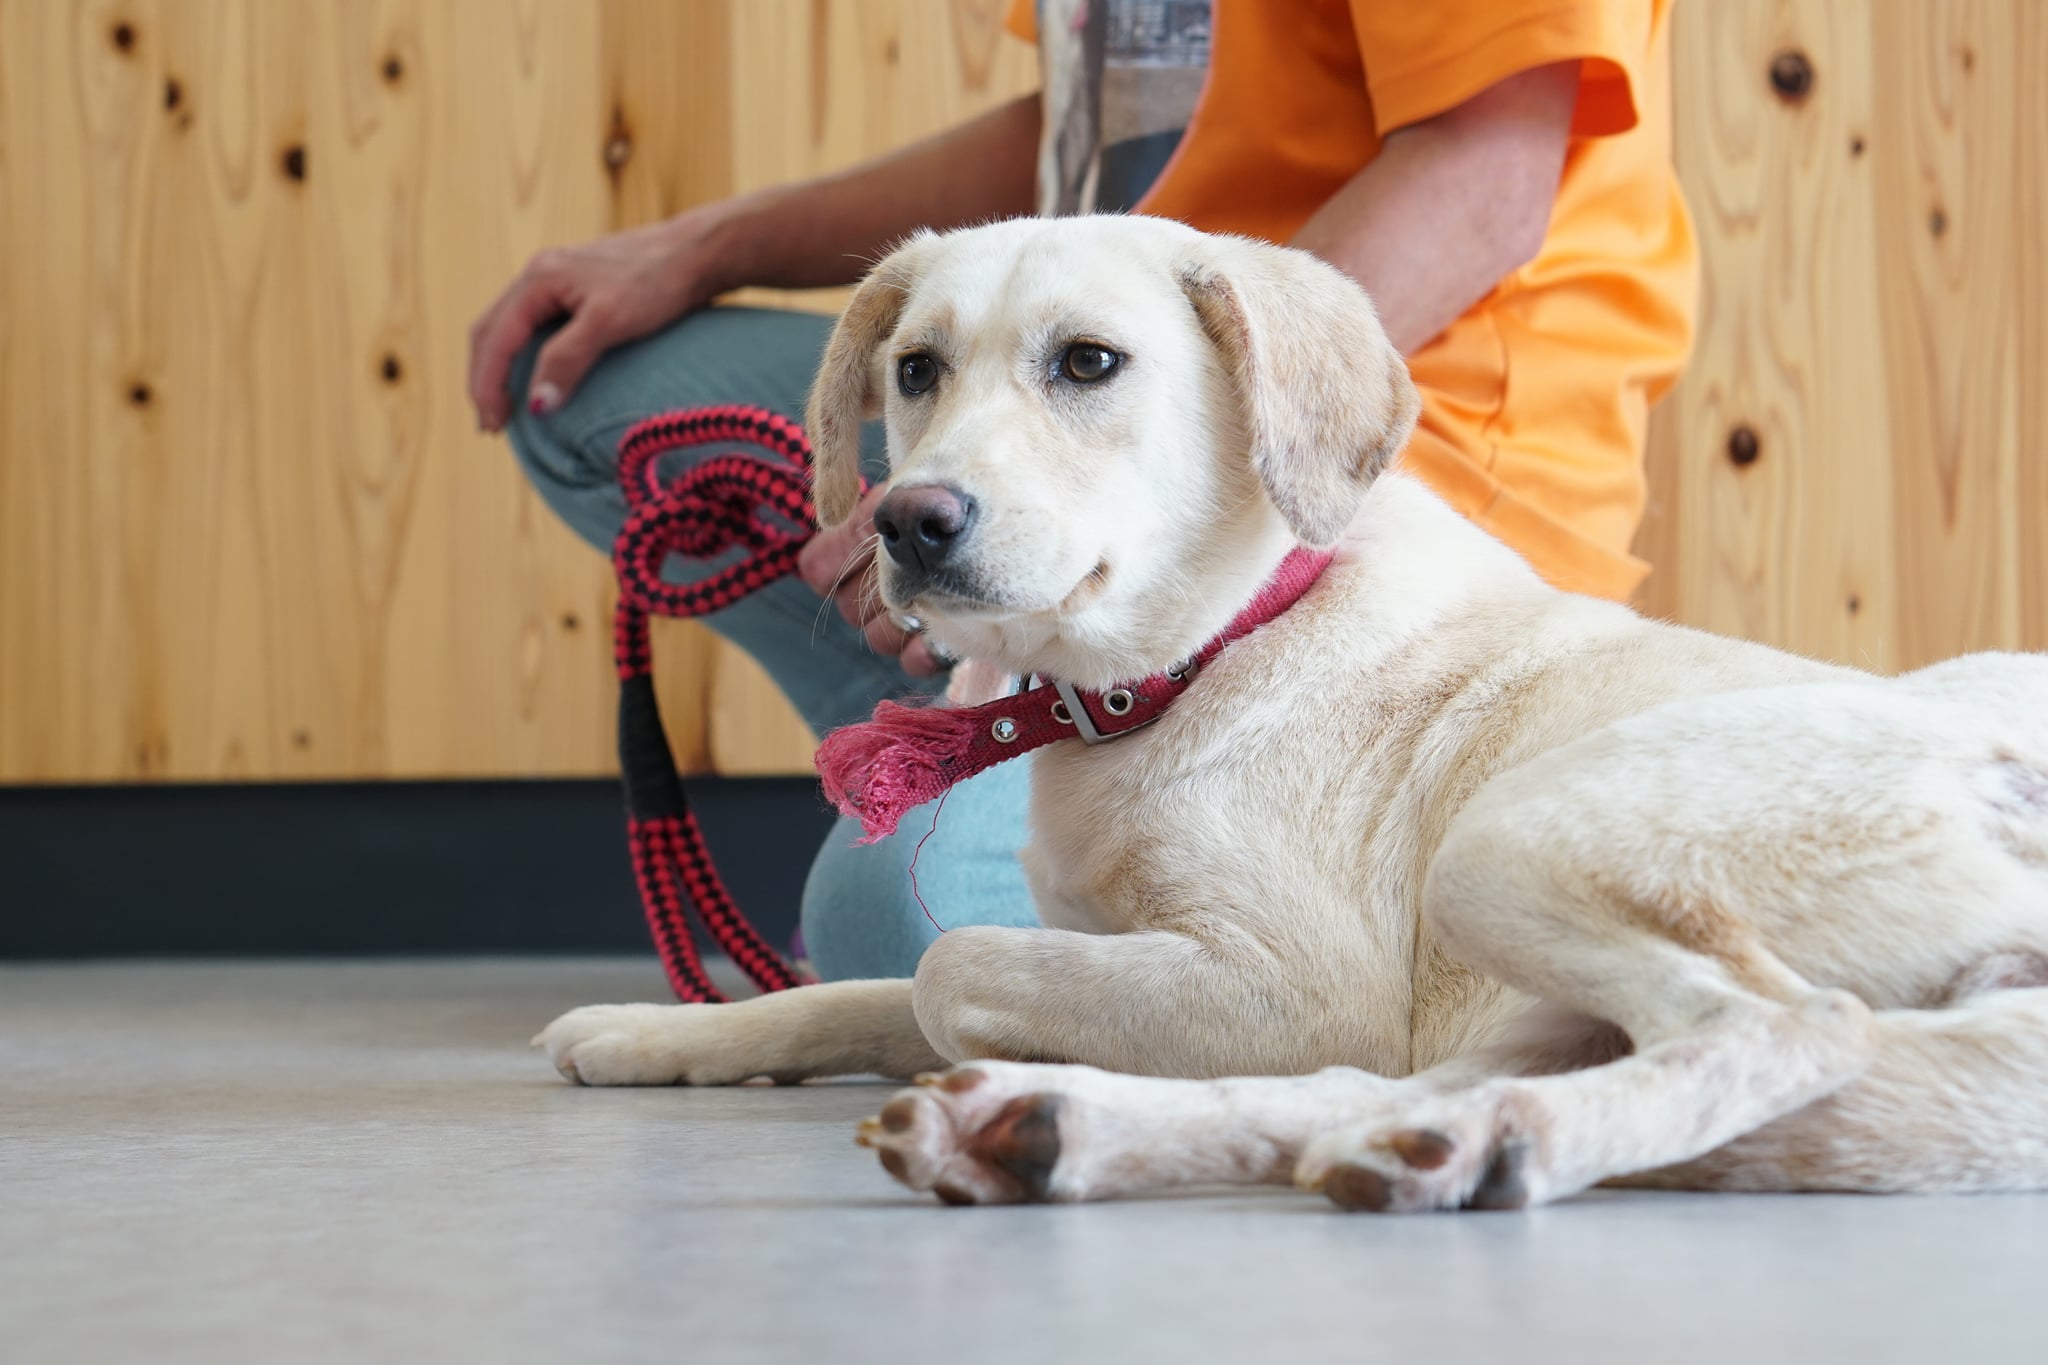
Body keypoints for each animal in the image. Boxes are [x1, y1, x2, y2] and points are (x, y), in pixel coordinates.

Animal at [532, 215, 2048, 1219]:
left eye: (1089, 364)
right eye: (915, 371)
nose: (909, 521)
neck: (1196, 659)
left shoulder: (1302, 984)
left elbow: (943, 966)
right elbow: (849, 992)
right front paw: (655, 1032)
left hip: (1507, 851)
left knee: (1786, 1029)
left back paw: (1487, 1141)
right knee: (1377, 1098)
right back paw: (1082, 1131)